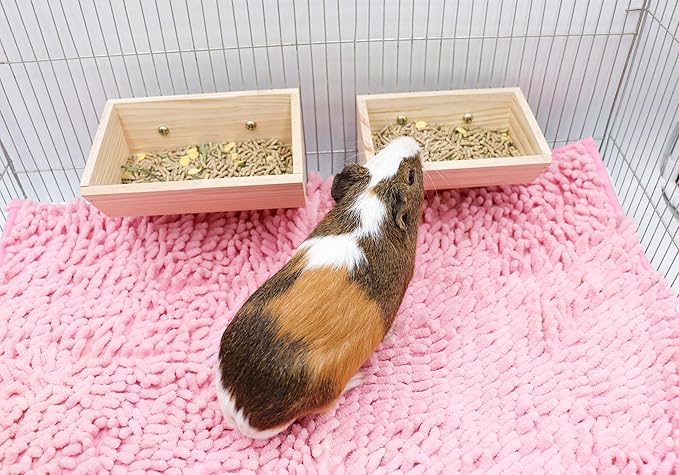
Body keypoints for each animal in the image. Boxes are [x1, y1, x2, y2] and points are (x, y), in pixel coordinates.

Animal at [215, 136, 424, 439]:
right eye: (411, 176)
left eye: (376, 157)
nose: (411, 142)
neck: (372, 199)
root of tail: (237, 409)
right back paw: (358, 379)